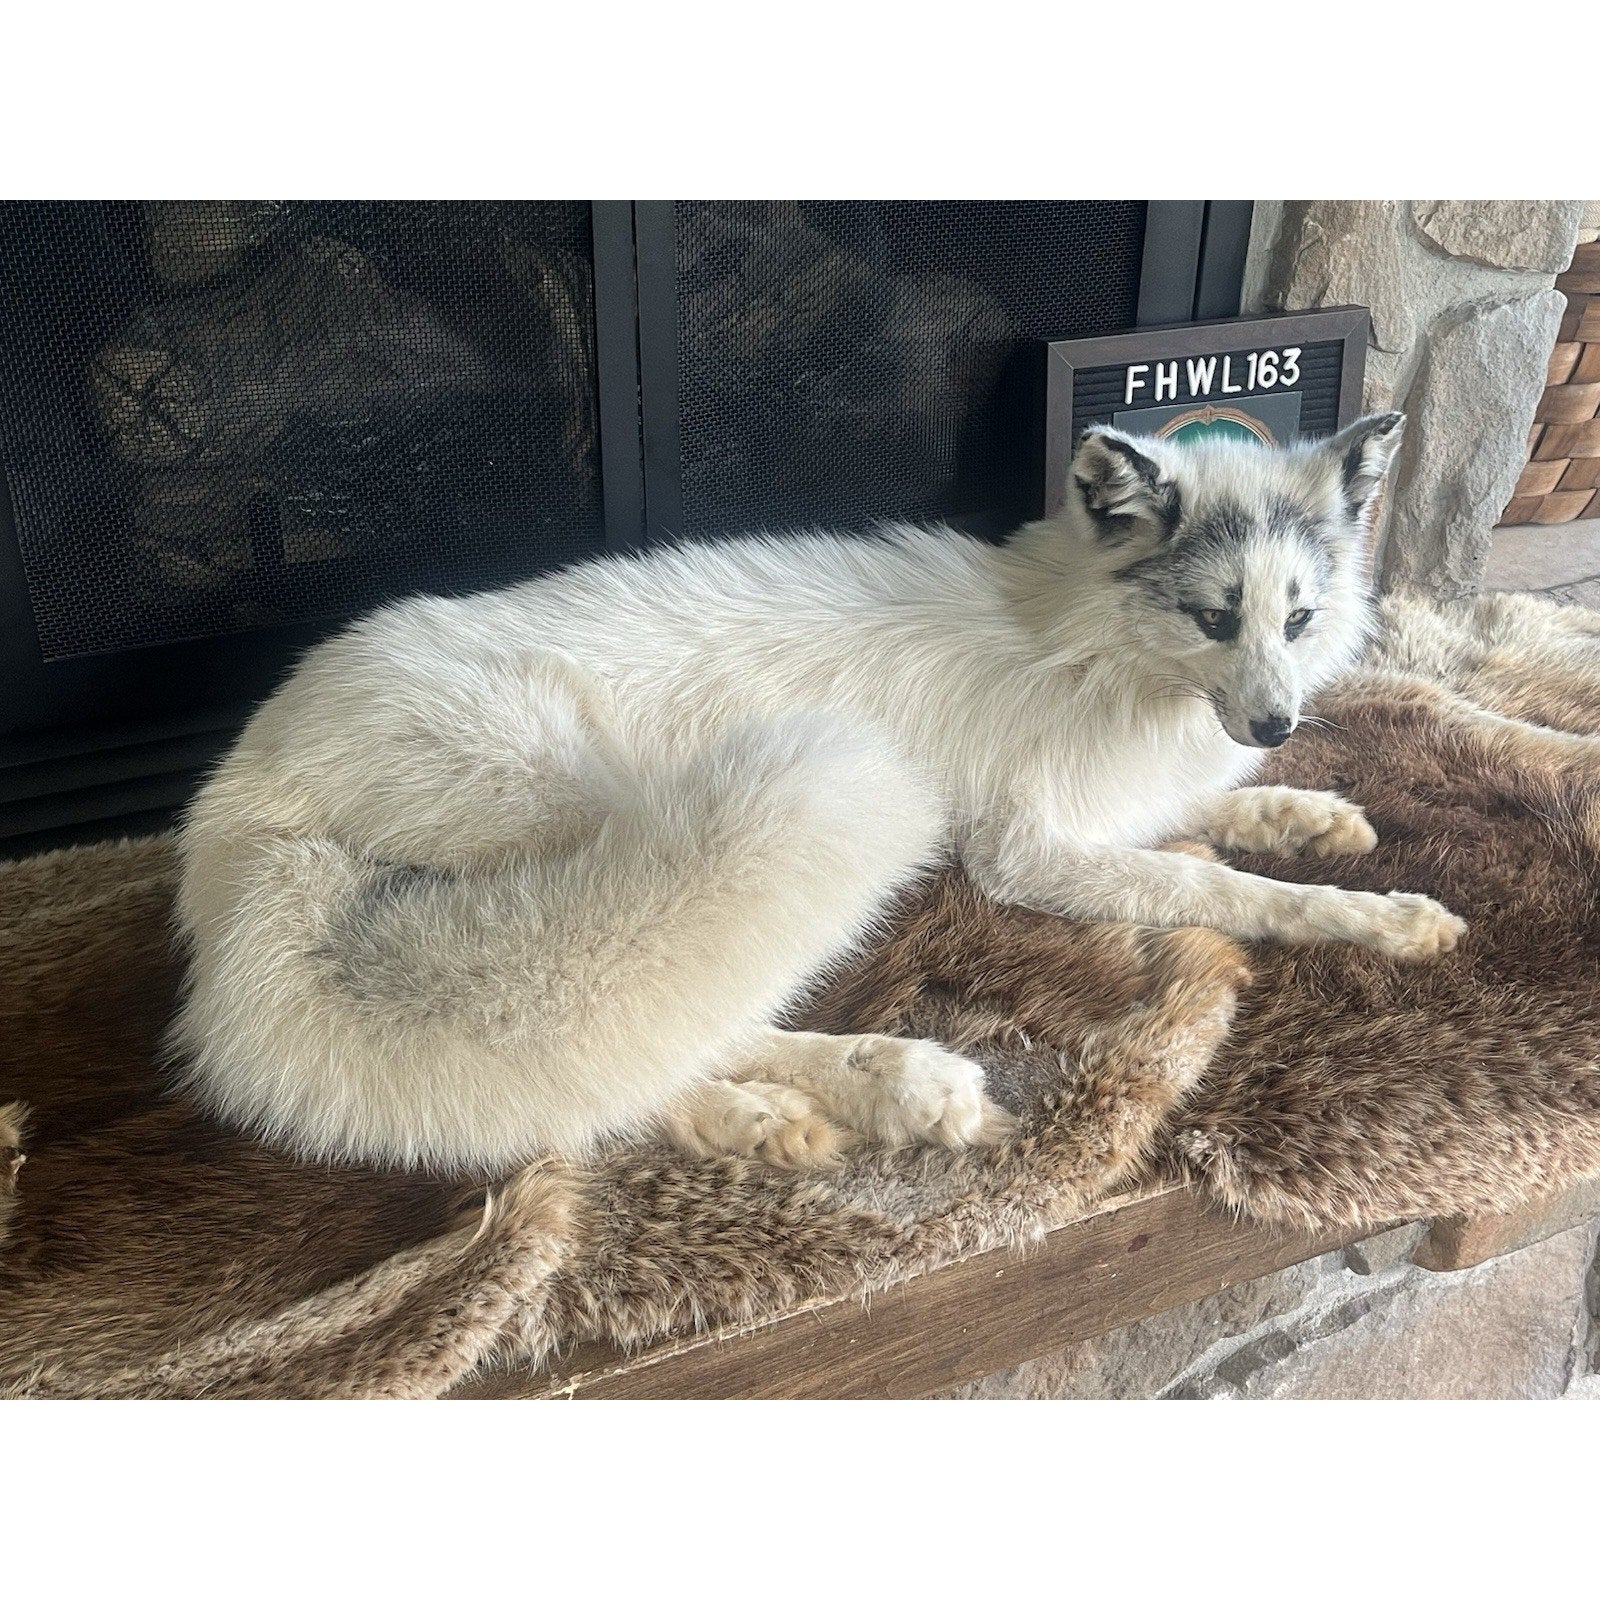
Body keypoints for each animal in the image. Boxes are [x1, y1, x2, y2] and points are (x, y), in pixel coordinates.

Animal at [171, 411, 1464, 1176]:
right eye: (1212, 615)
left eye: (1297, 619)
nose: (1275, 721)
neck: (1084, 646)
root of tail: (232, 802)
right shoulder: (1023, 855)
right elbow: (1226, 888)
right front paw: (1368, 912)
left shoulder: (1118, 802)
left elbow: (1225, 824)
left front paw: (1321, 820)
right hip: (611, 816)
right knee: (659, 1029)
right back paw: (889, 1087)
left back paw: (767, 1113)